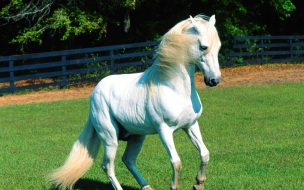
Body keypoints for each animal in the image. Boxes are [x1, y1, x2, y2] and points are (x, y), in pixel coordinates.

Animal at [48, 14, 222, 189]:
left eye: (219, 46)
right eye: (204, 47)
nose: (214, 80)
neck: (173, 88)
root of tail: (95, 91)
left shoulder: (190, 125)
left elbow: (204, 154)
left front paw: (198, 183)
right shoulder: (164, 130)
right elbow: (176, 162)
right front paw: (175, 186)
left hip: (137, 137)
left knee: (128, 160)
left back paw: (147, 186)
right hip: (110, 138)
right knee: (107, 166)